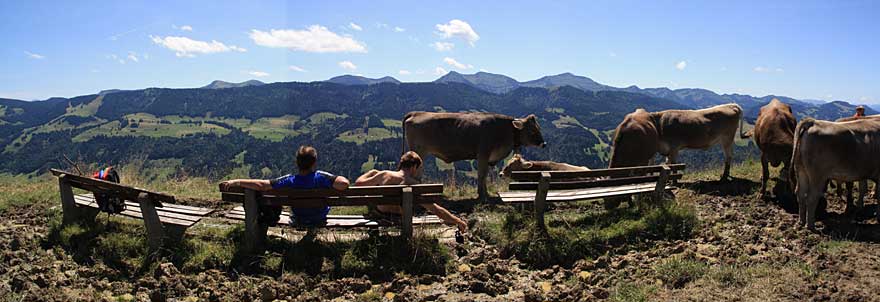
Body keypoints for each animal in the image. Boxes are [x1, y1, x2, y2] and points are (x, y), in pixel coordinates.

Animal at [404, 111, 544, 201]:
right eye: (532, 130)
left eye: (539, 128)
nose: (544, 143)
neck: (505, 130)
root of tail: (416, 113)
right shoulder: (483, 154)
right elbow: (481, 175)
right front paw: (482, 195)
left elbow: (484, 175)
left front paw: (485, 193)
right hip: (419, 153)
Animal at [608, 104, 744, 179]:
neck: (659, 126)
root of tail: (731, 105)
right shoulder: (666, 150)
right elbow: (665, 165)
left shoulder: (674, 148)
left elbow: (672, 165)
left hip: (727, 138)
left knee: (728, 156)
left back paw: (724, 177)